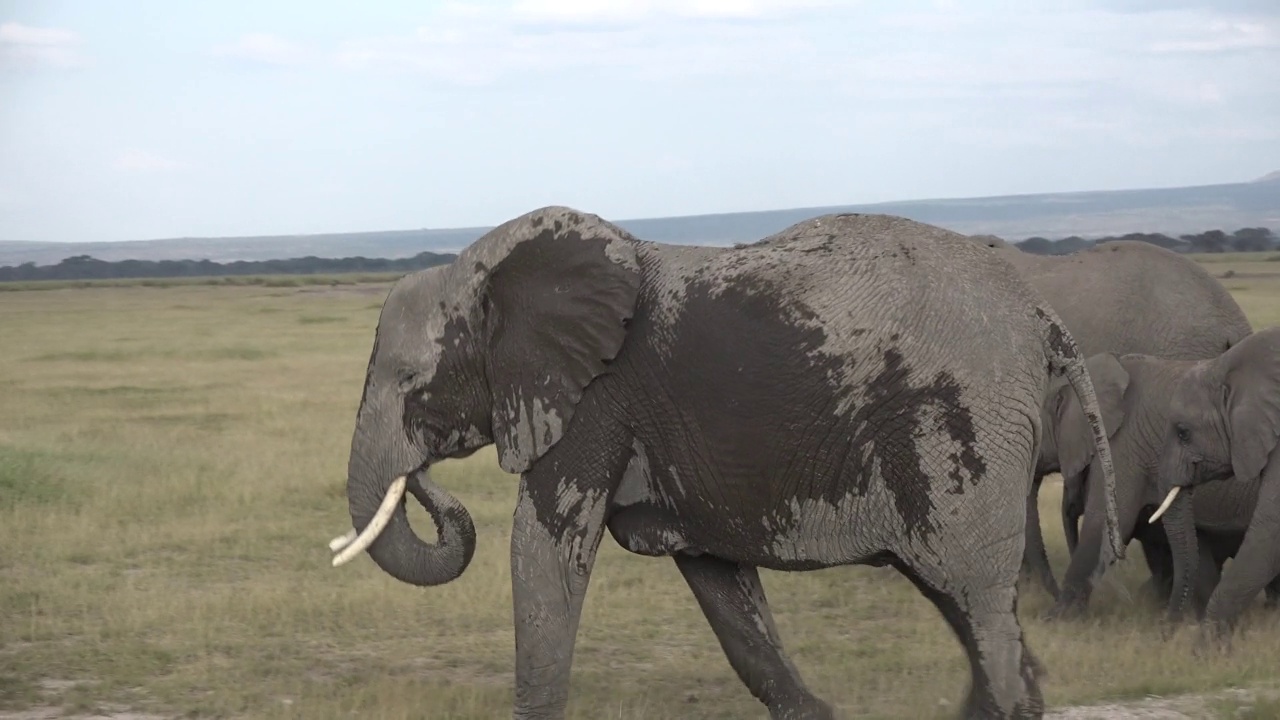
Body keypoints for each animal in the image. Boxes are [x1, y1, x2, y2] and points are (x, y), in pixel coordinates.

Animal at [327, 206, 1121, 717]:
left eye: (409, 380)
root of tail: (1043, 314)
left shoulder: (596, 399)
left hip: (963, 422)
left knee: (974, 595)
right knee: (963, 598)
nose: (428, 483)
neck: (483, 268)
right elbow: (721, 587)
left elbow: (545, 545)